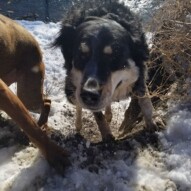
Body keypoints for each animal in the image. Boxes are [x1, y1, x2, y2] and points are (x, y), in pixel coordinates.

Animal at [54, 0, 157, 140]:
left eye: (114, 56)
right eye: (81, 54)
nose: (89, 94)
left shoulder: (140, 75)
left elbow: (145, 100)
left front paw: (152, 123)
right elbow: (97, 114)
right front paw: (107, 134)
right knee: (78, 104)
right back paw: (79, 124)